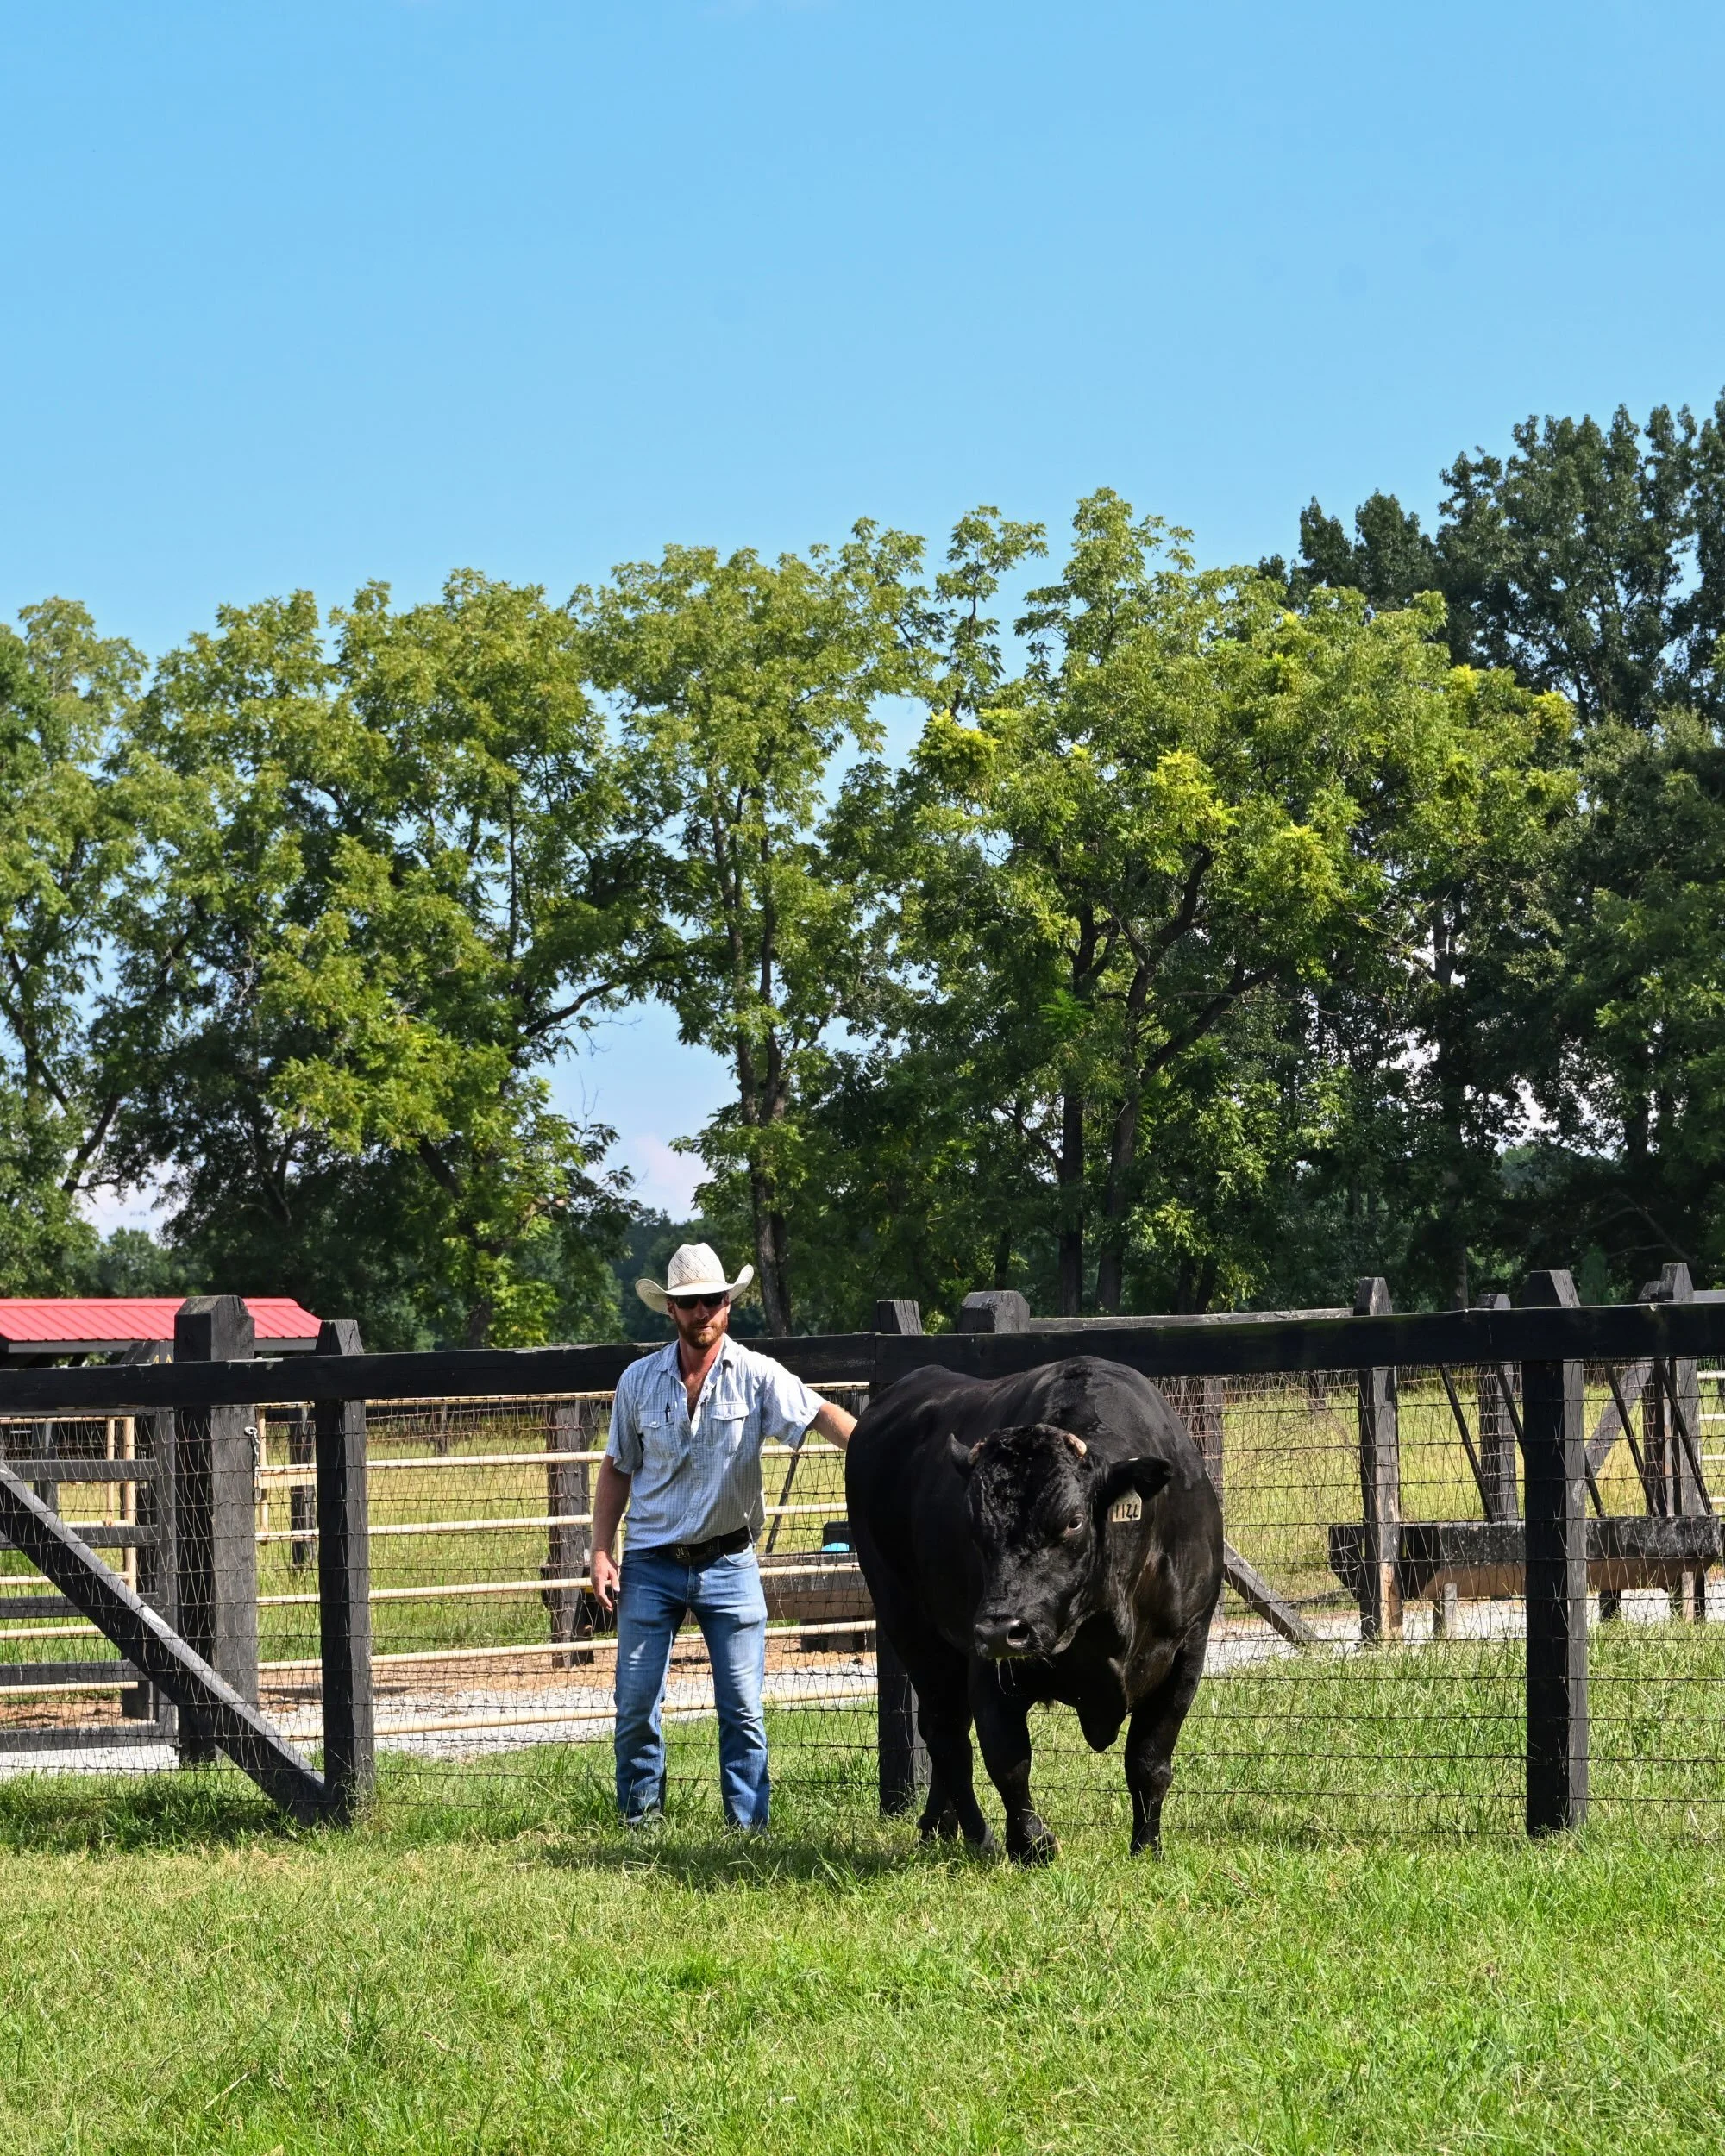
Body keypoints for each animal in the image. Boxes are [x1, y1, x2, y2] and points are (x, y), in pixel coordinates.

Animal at [846, 1355, 1224, 1862]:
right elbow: (1008, 1759)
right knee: (946, 1733)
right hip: (909, 1623)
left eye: (1073, 1521)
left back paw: (939, 1825)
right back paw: (977, 1834)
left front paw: (1147, 1846)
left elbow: (1150, 1761)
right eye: (973, 1525)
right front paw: (1030, 1844)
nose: (1001, 1629)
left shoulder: (1188, 1648)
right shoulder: (986, 1661)